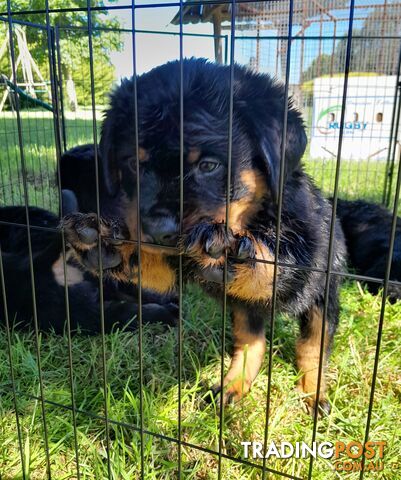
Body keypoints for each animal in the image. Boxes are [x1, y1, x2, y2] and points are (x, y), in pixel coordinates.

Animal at [62, 59, 346, 412]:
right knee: (251, 340)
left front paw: (231, 252)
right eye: (133, 164)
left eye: (209, 165)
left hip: (325, 294)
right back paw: (234, 385)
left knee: (314, 344)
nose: (158, 230)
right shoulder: (176, 261)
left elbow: (274, 265)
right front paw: (106, 245)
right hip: (244, 310)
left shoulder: (305, 257)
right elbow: (149, 263)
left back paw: (314, 392)